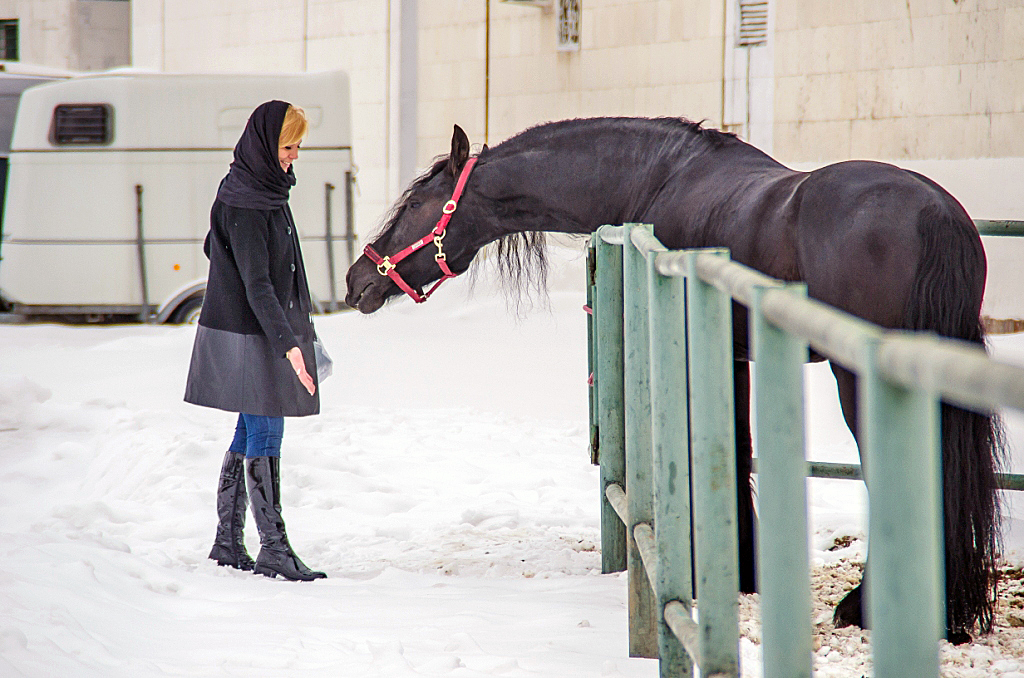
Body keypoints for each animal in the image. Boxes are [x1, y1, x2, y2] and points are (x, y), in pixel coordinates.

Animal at [346, 116, 999, 643]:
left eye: (415, 205)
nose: (358, 281)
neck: (656, 179)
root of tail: (936, 214)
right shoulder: (734, 353)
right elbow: (735, 448)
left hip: (860, 377)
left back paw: (867, 607)